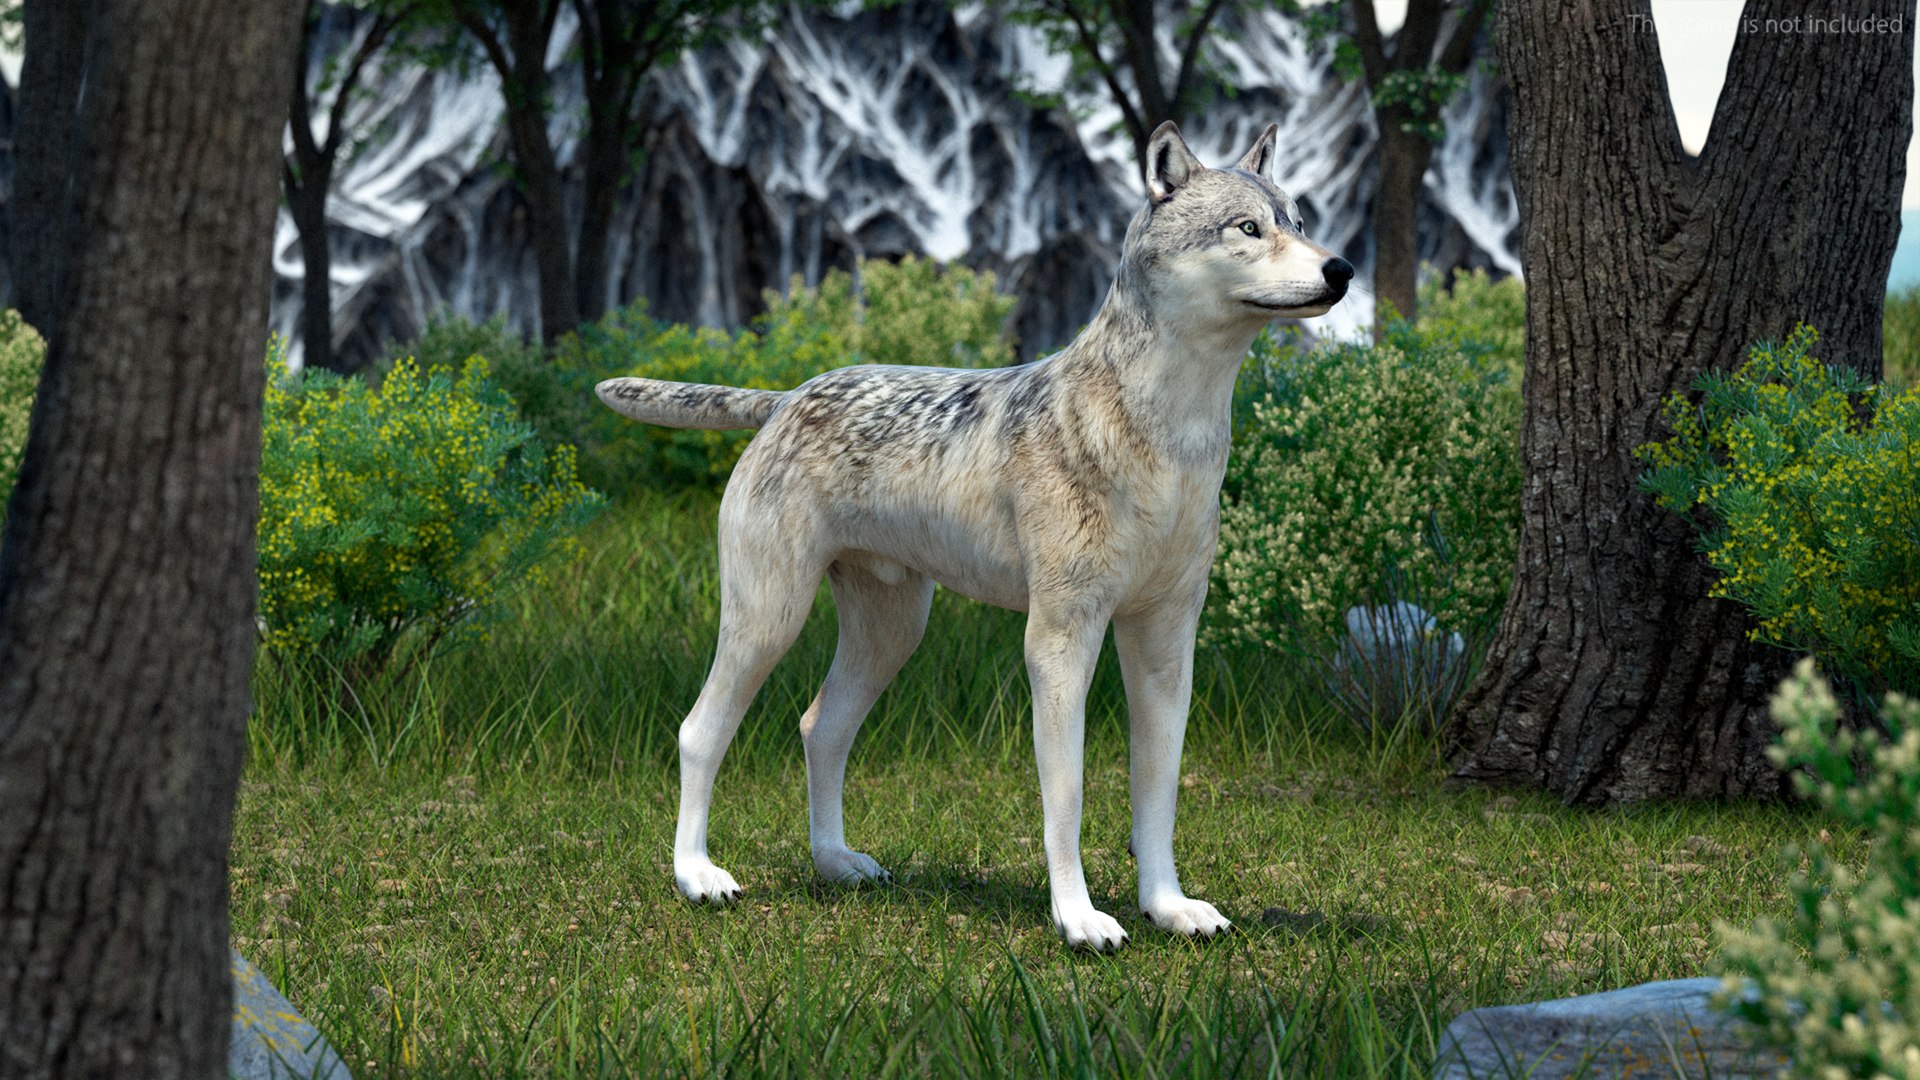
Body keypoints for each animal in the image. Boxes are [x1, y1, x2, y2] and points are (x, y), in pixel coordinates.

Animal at [597, 121, 1351, 951]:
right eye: (1247, 229)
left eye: (1299, 222)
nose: (1342, 269)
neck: (1173, 436)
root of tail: (787, 398)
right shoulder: (1060, 639)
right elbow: (1068, 798)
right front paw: (1080, 920)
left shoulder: (1165, 639)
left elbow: (1157, 795)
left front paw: (1170, 907)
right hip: (768, 619)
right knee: (699, 732)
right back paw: (697, 876)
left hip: (891, 632)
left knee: (820, 727)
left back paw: (837, 863)